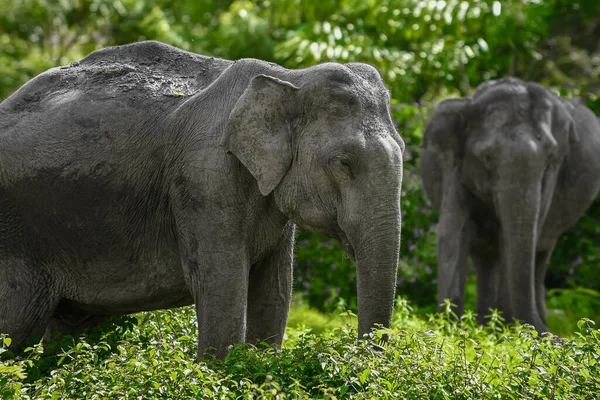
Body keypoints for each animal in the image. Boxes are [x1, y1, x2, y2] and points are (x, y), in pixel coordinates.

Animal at [0, 41, 406, 360]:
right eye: (343, 164)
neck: (289, 76)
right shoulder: (205, 178)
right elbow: (221, 286)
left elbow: (273, 291)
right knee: (15, 324)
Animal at [420, 76, 600, 332]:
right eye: (487, 158)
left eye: (550, 158)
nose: (553, 335)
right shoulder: (453, 166)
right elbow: (453, 232)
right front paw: (451, 328)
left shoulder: (552, 177)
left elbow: (516, 237)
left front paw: (505, 329)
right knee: (485, 257)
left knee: (540, 254)